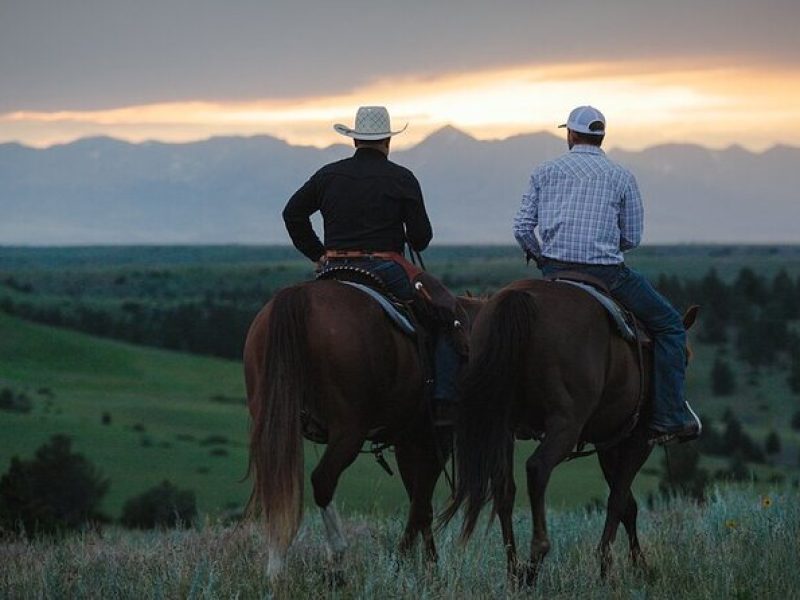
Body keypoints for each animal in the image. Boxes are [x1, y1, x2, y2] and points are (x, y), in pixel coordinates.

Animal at [244, 278, 482, 580]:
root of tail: (298, 297)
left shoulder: (407, 441)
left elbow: (418, 499)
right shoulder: (434, 439)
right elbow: (421, 503)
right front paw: (416, 565)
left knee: (276, 483)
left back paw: (276, 567)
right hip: (349, 431)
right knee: (323, 480)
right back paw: (337, 556)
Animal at [440, 280, 696, 584]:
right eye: (685, 359)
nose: (692, 425)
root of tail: (520, 297)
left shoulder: (608, 443)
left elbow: (627, 505)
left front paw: (636, 565)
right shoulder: (639, 439)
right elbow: (618, 500)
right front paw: (610, 568)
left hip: (502, 425)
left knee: (504, 487)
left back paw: (514, 571)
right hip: (566, 425)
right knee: (537, 468)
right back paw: (535, 560)